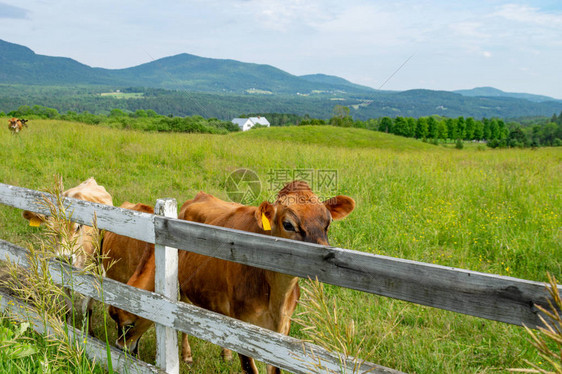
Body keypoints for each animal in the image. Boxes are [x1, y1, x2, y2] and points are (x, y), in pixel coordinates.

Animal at [108, 180, 354, 372]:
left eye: (327, 223)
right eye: (288, 224)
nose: (119, 347)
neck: (275, 297)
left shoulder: (281, 331)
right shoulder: (243, 326)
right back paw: (187, 355)